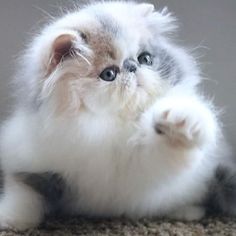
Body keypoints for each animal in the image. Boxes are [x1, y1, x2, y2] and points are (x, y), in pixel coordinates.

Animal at [0, 0, 236, 230]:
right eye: (109, 74)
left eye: (145, 59)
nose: (133, 67)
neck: (103, 127)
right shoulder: (33, 163)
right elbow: (25, 195)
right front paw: (10, 220)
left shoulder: (147, 163)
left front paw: (179, 120)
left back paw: (186, 213)